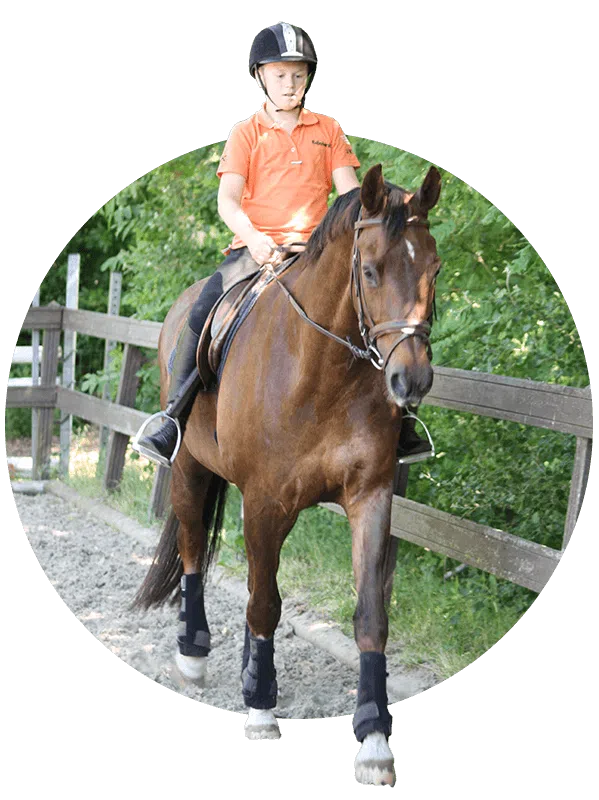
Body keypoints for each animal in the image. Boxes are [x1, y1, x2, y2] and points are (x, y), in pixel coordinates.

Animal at [133, 163, 442, 785]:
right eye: (369, 270)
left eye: (436, 269)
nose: (411, 382)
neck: (322, 368)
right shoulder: (265, 501)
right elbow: (263, 604)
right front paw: (259, 708)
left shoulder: (370, 497)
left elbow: (370, 614)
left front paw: (373, 735)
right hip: (189, 469)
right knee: (193, 550)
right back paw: (193, 653)